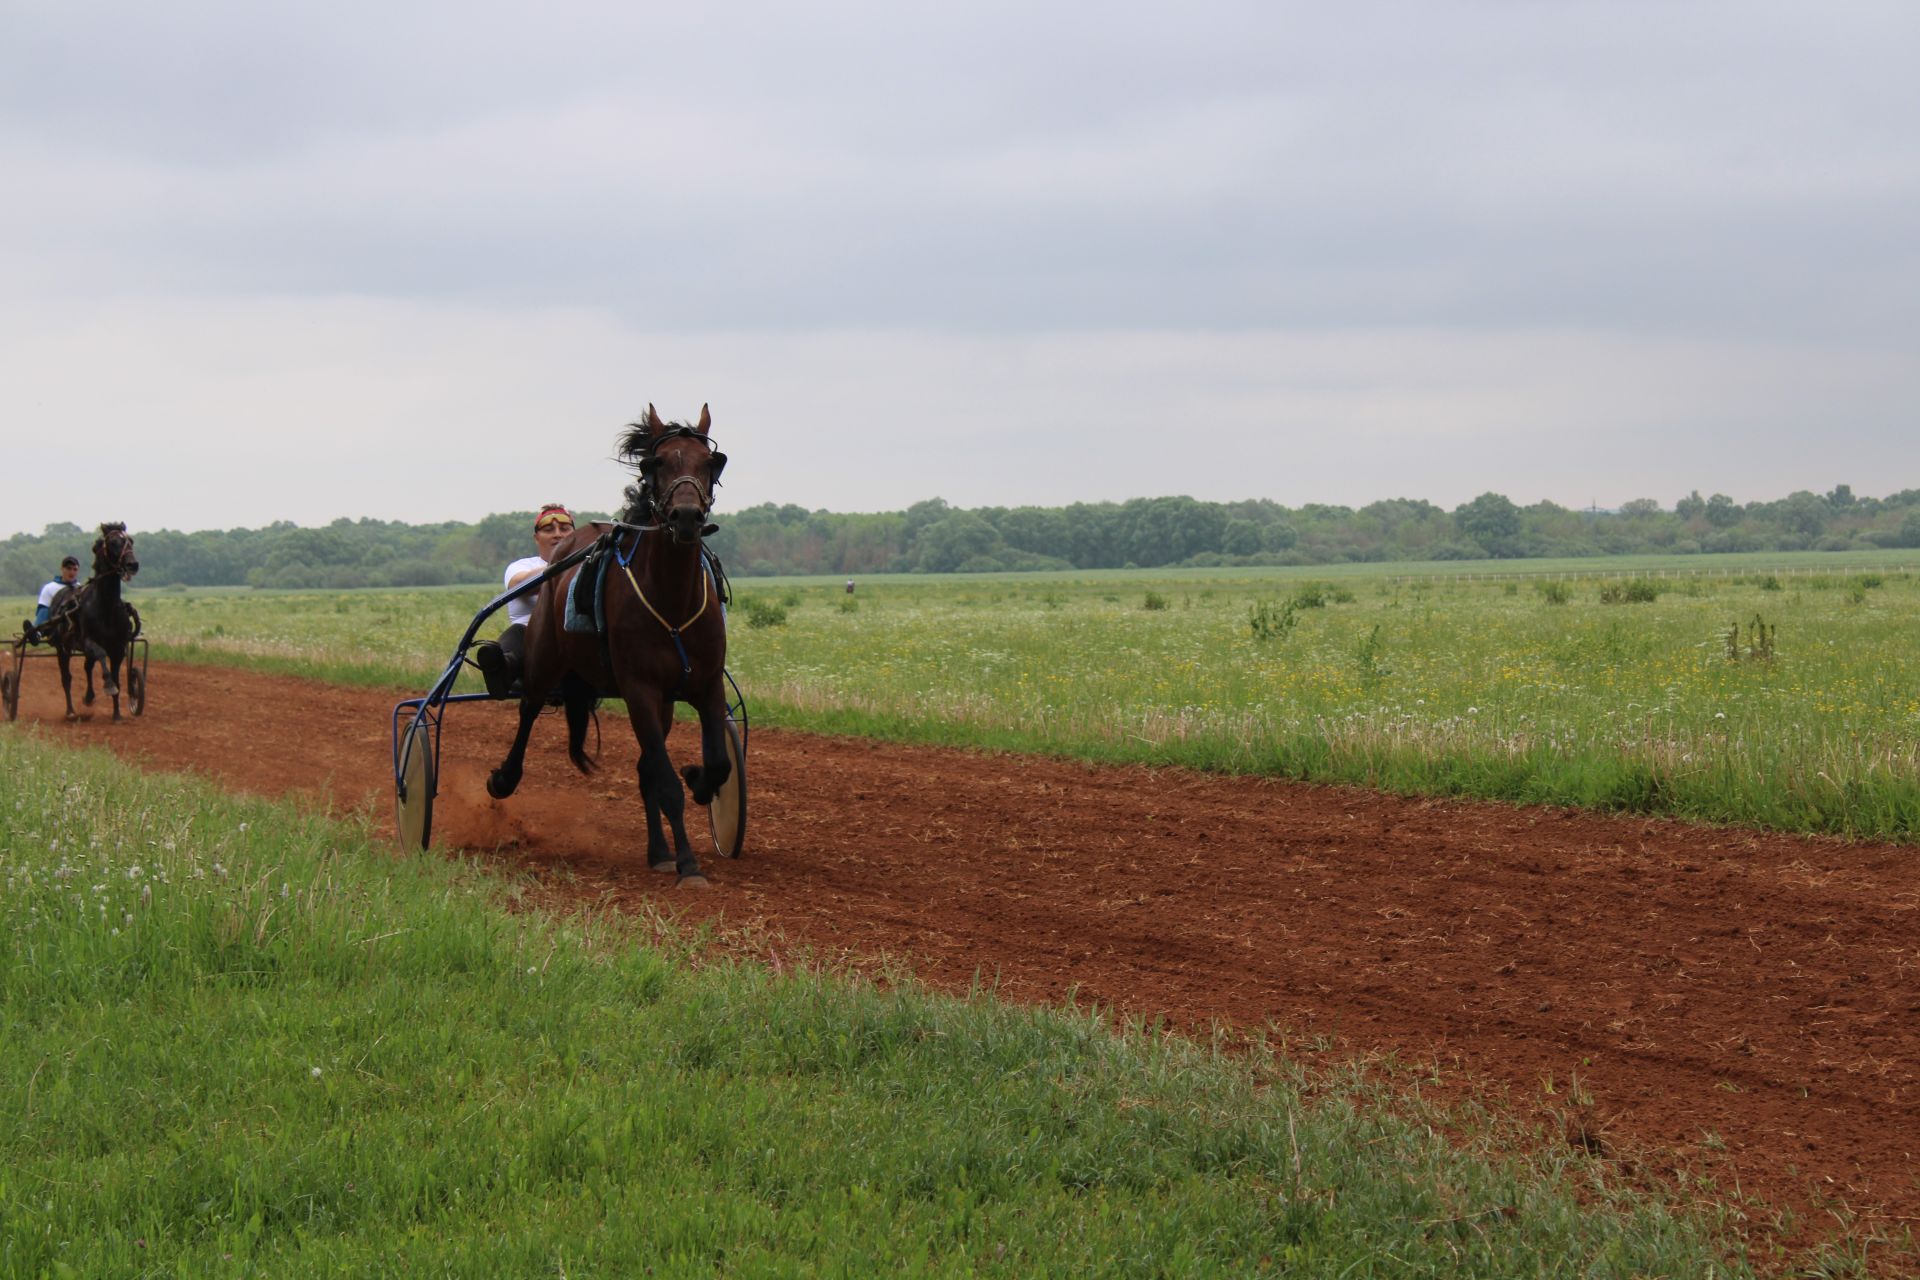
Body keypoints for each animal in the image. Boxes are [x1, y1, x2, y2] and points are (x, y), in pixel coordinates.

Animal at [47, 521, 140, 721]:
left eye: (130, 540)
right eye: (113, 542)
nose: (132, 564)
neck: (106, 606)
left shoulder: (118, 647)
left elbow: (117, 678)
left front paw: (117, 714)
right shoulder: (88, 641)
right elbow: (101, 656)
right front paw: (108, 685)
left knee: (87, 666)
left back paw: (89, 697)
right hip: (62, 647)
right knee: (66, 677)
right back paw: (71, 711)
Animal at [487, 404, 733, 886]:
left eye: (711, 462)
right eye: (657, 462)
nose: (686, 517)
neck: (671, 599)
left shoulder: (705, 683)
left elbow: (716, 764)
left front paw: (696, 778)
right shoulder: (640, 688)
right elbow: (666, 782)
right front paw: (689, 865)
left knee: (645, 769)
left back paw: (658, 851)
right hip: (544, 659)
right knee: (528, 710)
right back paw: (504, 777)